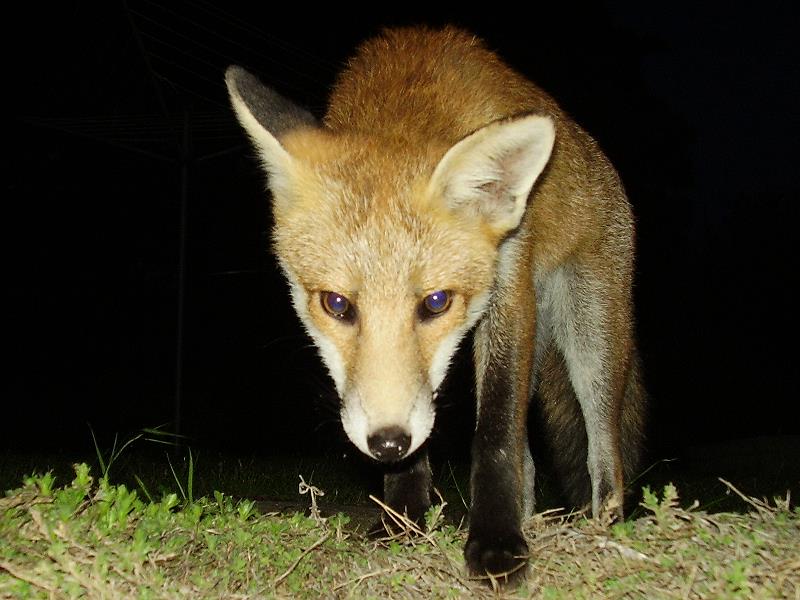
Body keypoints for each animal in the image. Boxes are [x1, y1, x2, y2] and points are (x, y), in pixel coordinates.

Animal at [223, 25, 644, 584]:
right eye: (336, 304)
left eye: (437, 302)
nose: (387, 442)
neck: (409, 95)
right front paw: (404, 521)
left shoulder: (508, 281)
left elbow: (495, 435)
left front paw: (496, 543)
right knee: (534, 463)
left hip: (591, 337)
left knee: (604, 455)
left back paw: (603, 527)